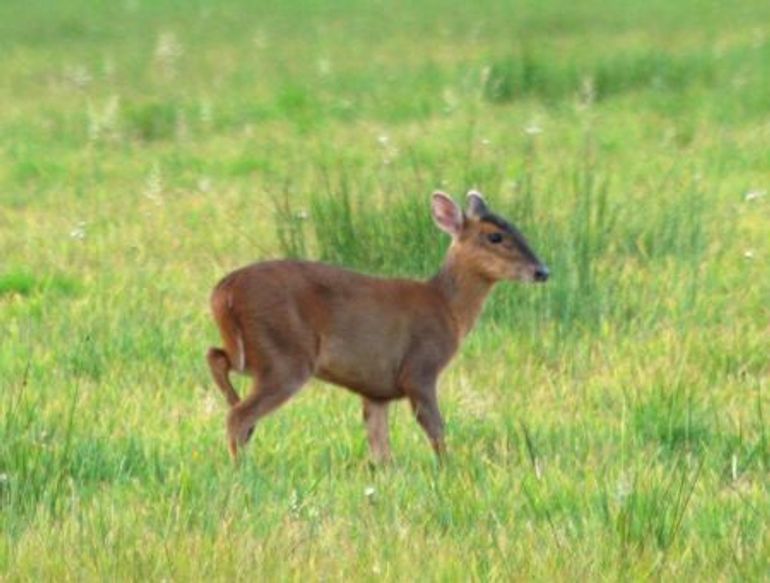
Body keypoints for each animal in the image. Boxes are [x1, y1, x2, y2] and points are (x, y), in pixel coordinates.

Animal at [207, 194, 548, 464]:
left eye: (516, 228)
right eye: (494, 236)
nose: (542, 271)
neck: (447, 308)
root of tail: (223, 291)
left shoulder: (375, 390)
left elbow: (379, 444)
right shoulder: (419, 367)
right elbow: (435, 428)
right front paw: (449, 469)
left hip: (256, 350)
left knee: (216, 357)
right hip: (285, 354)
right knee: (237, 415)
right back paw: (242, 465)